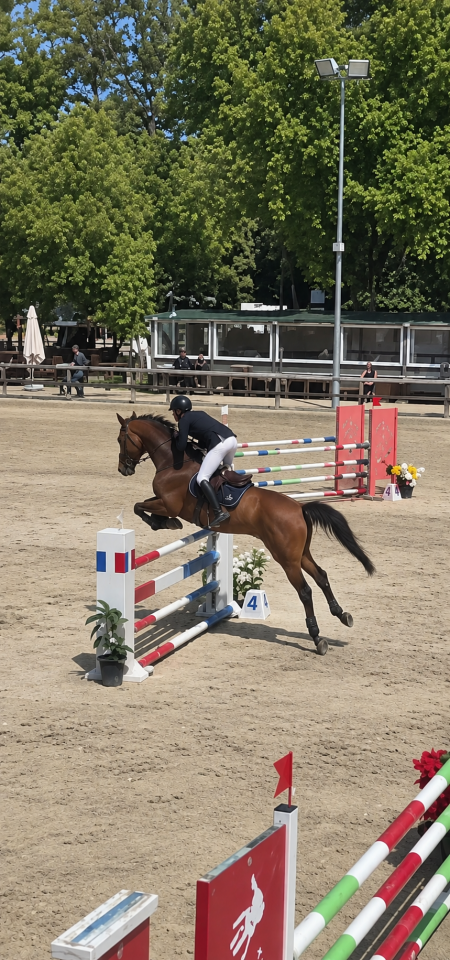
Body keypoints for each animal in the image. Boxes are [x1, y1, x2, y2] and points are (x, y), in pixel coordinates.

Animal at [117, 412, 375, 656]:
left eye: (121, 439)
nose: (123, 469)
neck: (173, 463)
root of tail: (299, 508)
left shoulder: (169, 504)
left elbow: (139, 507)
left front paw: (162, 523)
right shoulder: (163, 502)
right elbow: (141, 505)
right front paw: (164, 523)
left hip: (286, 559)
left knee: (305, 590)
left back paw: (317, 637)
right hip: (300, 554)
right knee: (321, 576)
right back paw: (342, 614)